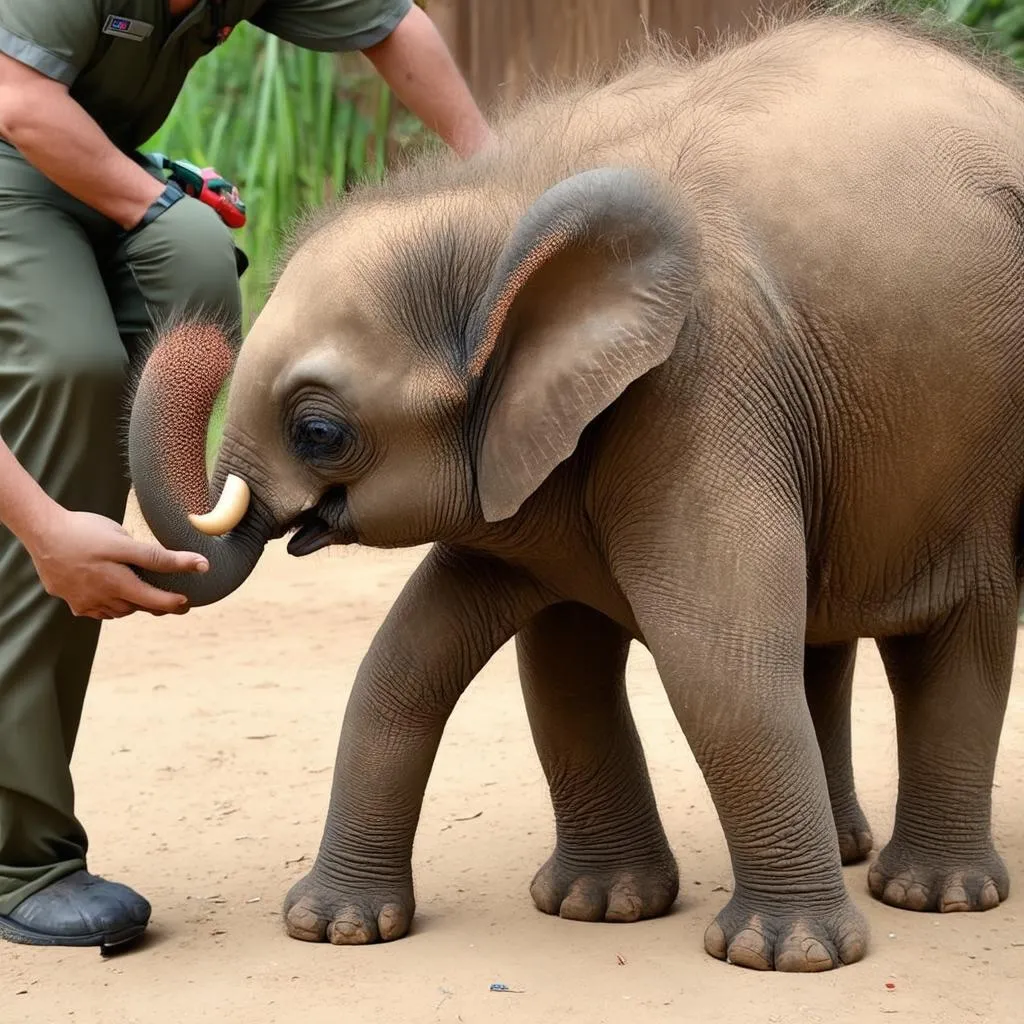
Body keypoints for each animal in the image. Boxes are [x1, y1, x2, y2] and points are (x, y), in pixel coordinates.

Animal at [130, 9, 1024, 966]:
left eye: (319, 432)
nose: (198, 324)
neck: (506, 208)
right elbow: (468, 659)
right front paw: (359, 929)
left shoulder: (699, 396)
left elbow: (719, 663)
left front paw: (784, 956)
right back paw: (864, 858)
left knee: (955, 631)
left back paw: (933, 897)